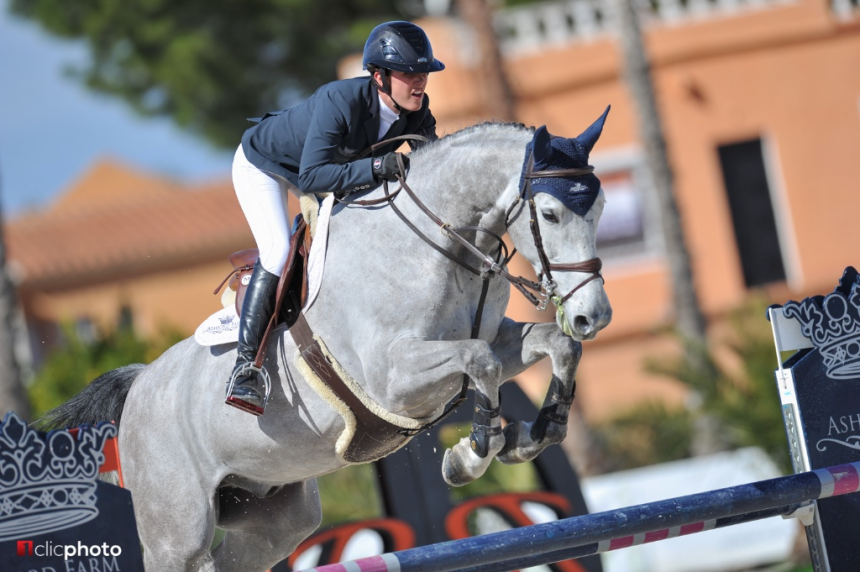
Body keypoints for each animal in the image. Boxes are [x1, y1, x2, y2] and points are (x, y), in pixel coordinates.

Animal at [40, 109, 613, 572]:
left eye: (601, 207)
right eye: (550, 214)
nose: (594, 316)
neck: (442, 249)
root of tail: (138, 385)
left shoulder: (497, 339)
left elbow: (553, 346)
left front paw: (535, 433)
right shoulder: (393, 380)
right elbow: (481, 363)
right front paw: (472, 454)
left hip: (273, 514)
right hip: (176, 532)